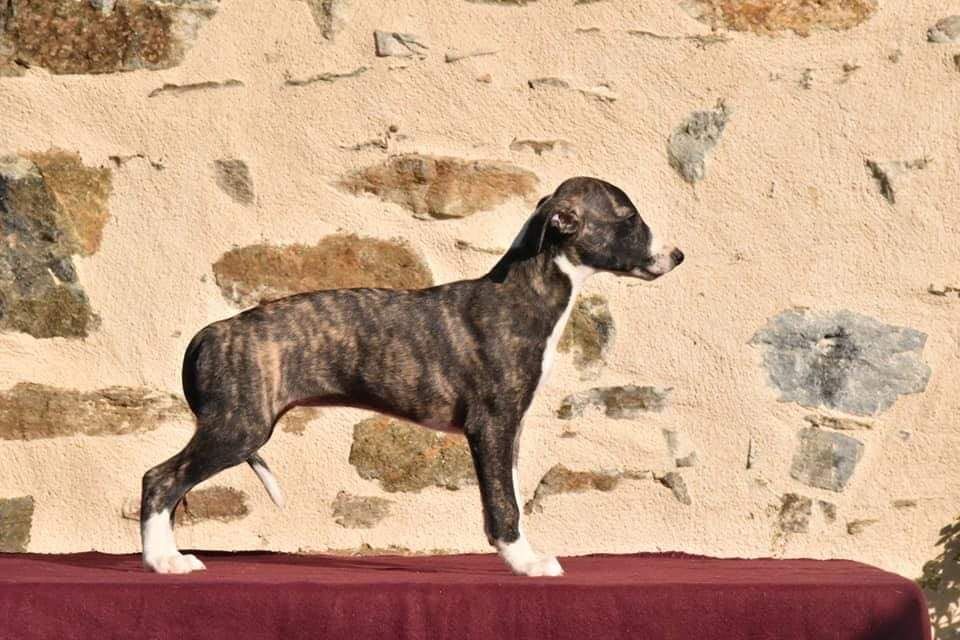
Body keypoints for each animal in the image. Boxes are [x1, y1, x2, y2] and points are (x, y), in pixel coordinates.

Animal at [140, 176, 684, 576]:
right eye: (629, 217)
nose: (678, 255)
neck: (522, 295)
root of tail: (214, 331)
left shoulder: (511, 430)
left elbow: (512, 496)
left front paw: (525, 554)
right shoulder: (492, 425)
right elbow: (503, 506)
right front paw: (525, 564)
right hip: (239, 426)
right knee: (159, 479)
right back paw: (164, 561)